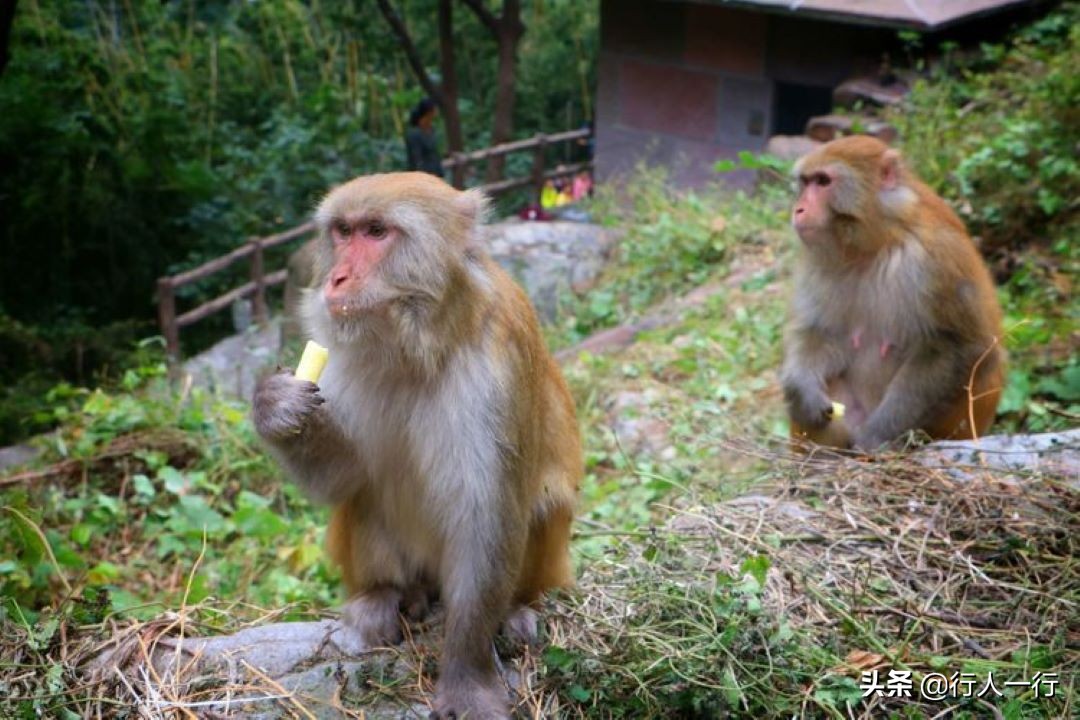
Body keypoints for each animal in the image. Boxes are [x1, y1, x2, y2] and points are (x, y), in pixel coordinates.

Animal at [251, 172, 583, 720]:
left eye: (376, 231)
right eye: (343, 232)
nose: (335, 278)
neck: (420, 342)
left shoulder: (498, 364)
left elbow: (487, 516)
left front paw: (467, 678)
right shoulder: (340, 355)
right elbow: (342, 478)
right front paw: (274, 406)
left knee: (543, 503)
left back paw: (516, 608)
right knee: (365, 493)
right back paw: (384, 597)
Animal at [781, 136, 1006, 451]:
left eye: (823, 181)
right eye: (806, 182)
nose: (799, 209)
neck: (877, 242)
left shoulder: (937, 259)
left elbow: (959, 347)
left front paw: (878, 435)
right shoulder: (818, 262)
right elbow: (819, 332)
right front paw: (803, 390)